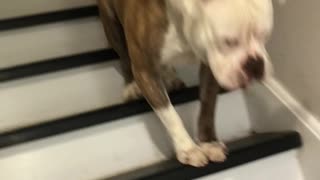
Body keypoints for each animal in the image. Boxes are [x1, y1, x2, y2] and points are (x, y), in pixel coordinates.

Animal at [97, 0, 276, 167]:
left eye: (265, 36)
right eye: (229, 41)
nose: (255, 64)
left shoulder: (209, 67)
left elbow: (208, 106)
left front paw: (209, 143)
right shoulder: (145, 71)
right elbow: (170, 114)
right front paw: (188, 148)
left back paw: (170, 76)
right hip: (111, 23)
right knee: (123, 54)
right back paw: (130, 86)